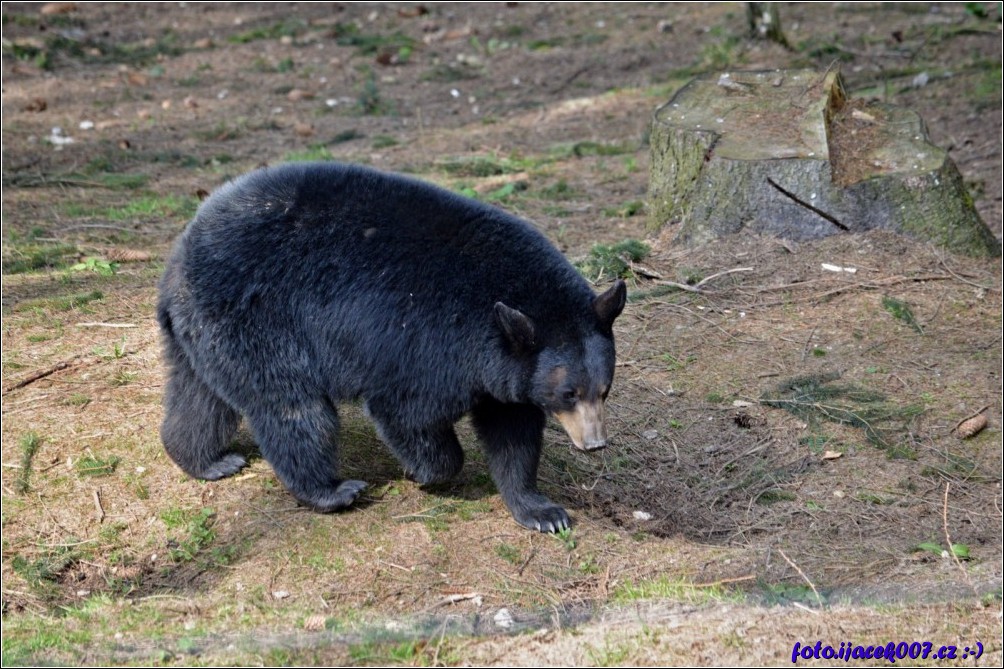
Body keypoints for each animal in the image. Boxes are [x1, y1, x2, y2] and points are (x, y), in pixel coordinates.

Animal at [154, 161, 626, 530]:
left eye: (604, 391)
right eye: (568, 393)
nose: (596, 443)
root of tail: (181, 251)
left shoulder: (508, 369)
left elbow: (513, 432)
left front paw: (542, 511)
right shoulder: (428, 343)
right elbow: (407, 412)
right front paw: (426, 472)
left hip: (202, 330)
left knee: (200, 395)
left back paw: (206, 460)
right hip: (258, 321)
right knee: (293, 409)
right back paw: (331, 490)